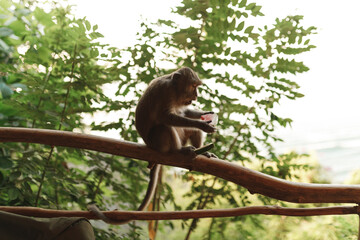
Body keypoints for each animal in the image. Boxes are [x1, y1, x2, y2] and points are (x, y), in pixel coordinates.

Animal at [88, 67, 215, 225]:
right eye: (193, 86)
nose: (196, 96)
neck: (174, 87)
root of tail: (151, 146)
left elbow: (184, 112)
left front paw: (204, 114)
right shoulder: (166, 92)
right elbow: (166, 117)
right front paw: (202, 124)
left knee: (188, 129)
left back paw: (202, 152)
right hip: (157, 142)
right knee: (163, 127)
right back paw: (179, 150)